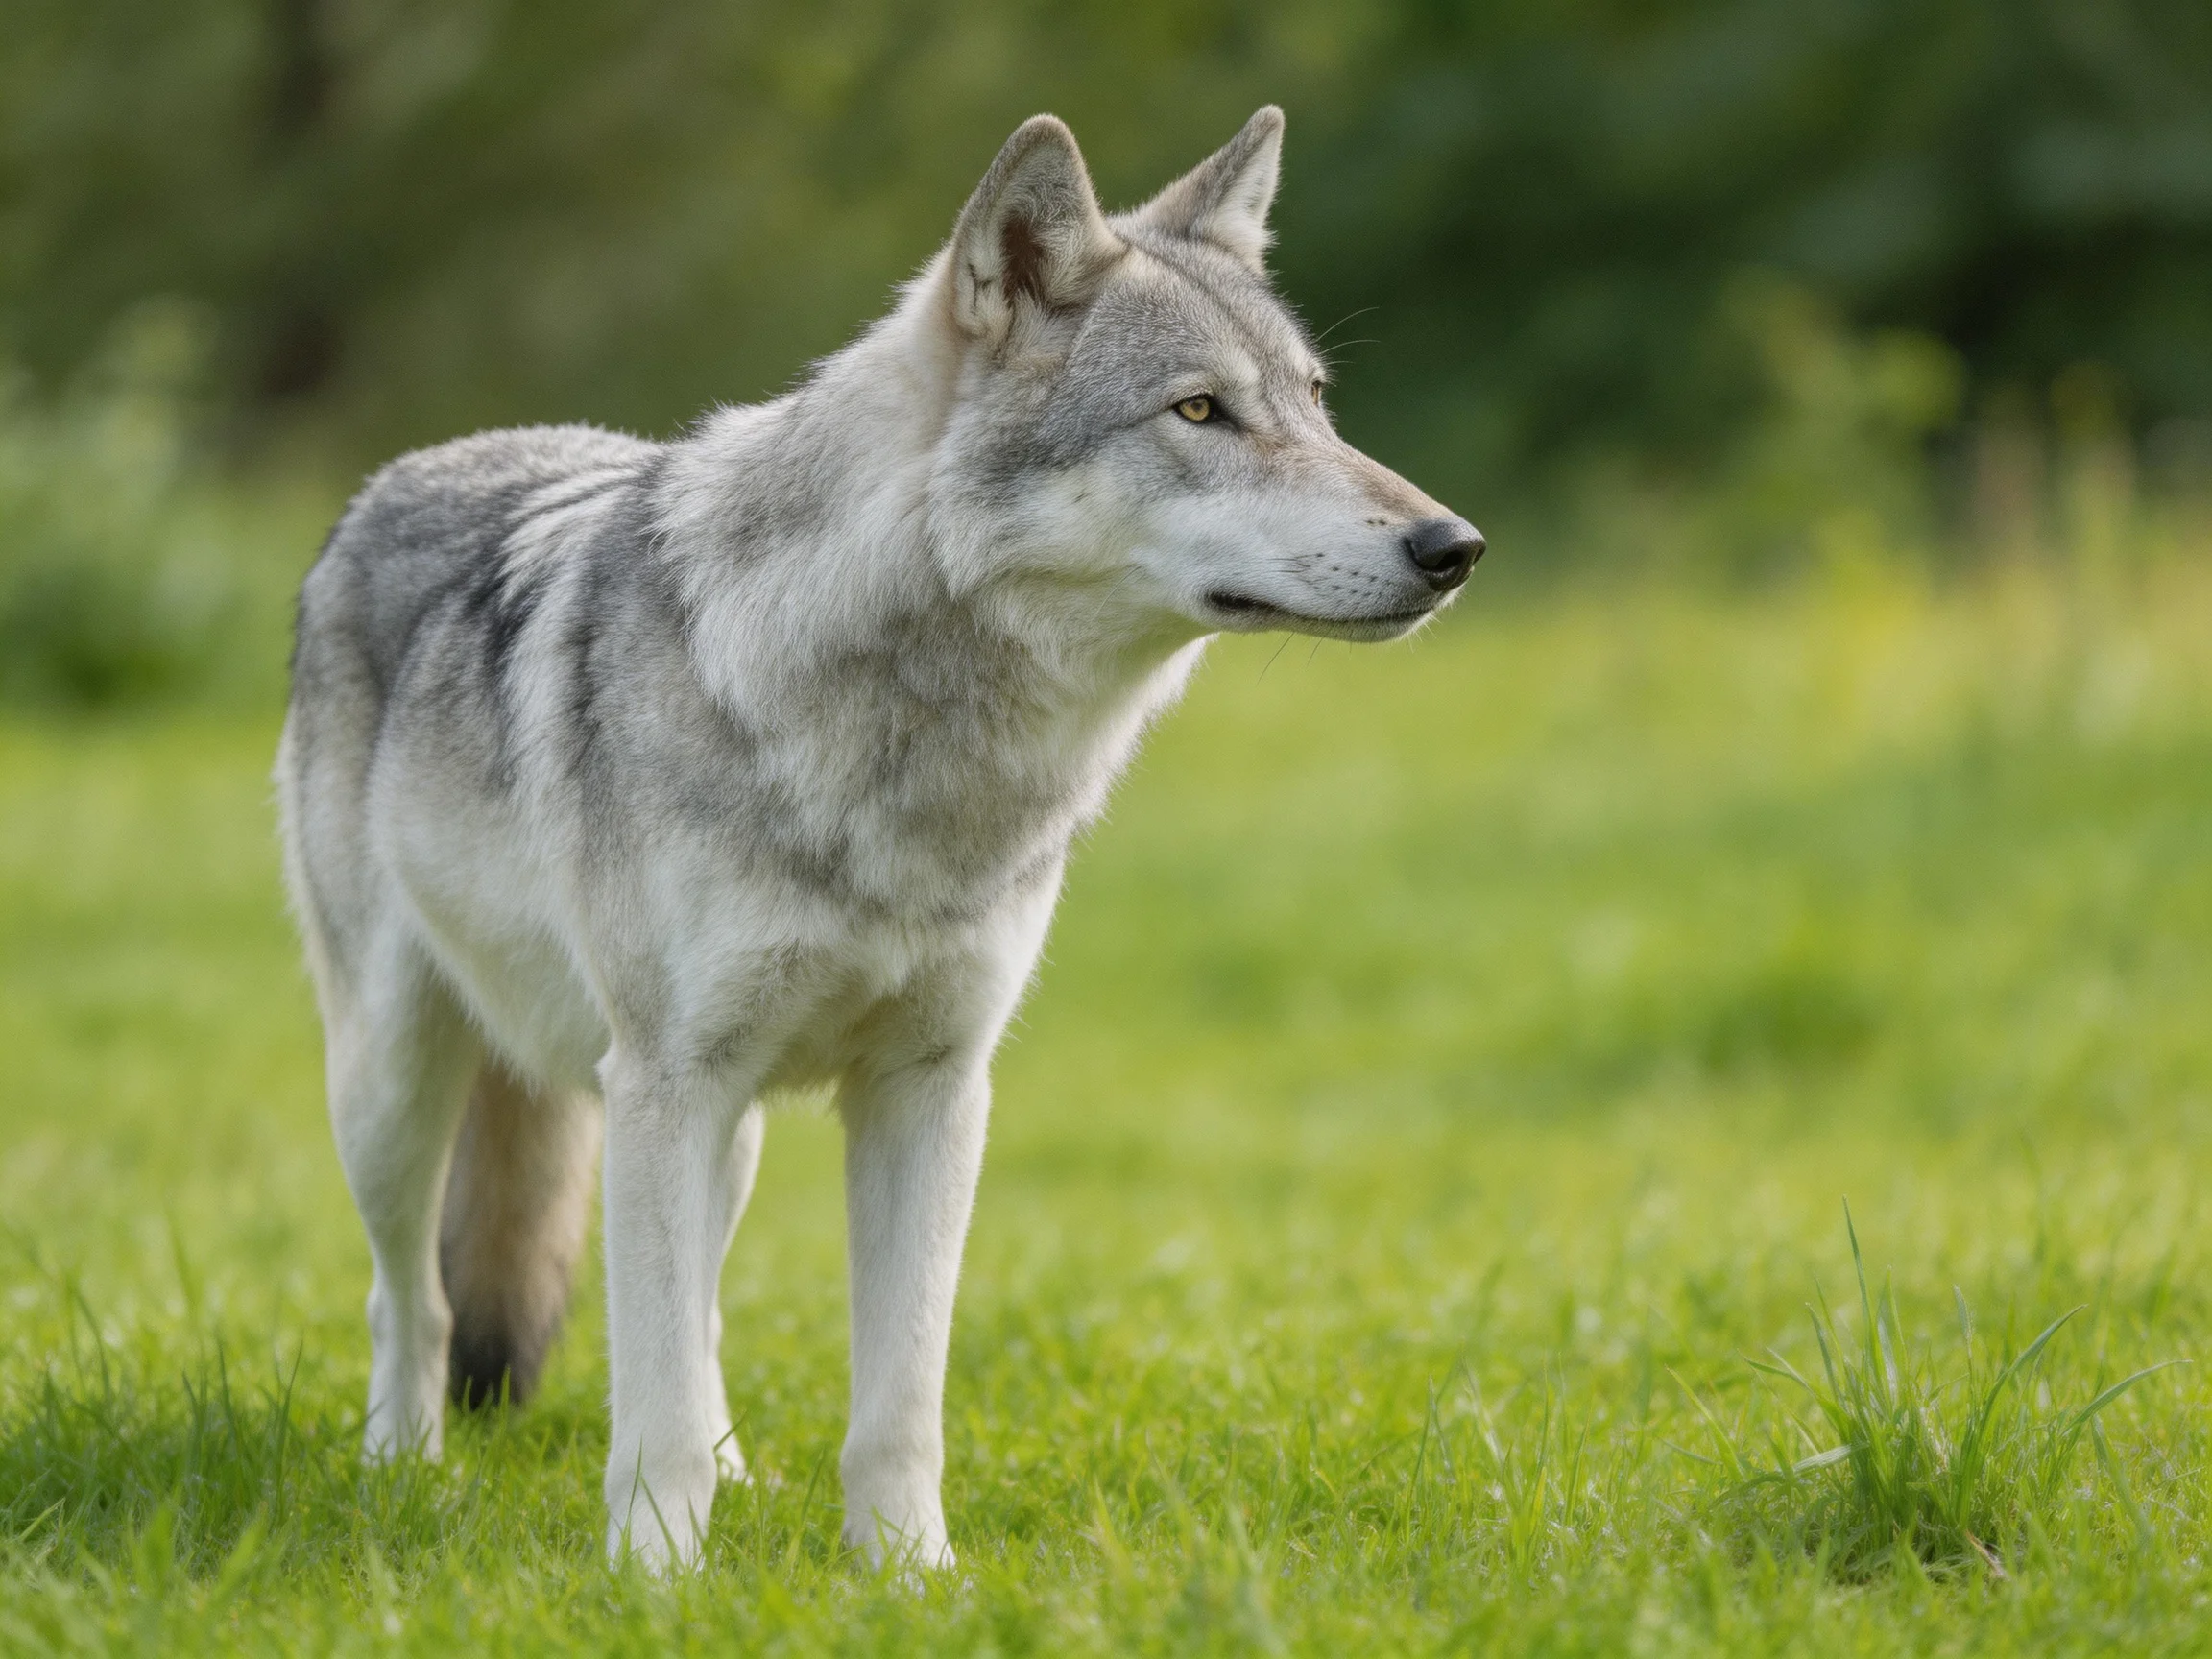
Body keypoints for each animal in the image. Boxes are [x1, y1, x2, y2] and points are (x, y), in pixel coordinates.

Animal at [277, 105, 1482, 1571]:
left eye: (1314, 402)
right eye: (1200, 410)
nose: (1454, 545)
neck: (910, 761)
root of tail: (401, 474)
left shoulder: (932, 1091)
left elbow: (895, 1397)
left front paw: (910, 1578)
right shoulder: (670, 1081)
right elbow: (644, 1394)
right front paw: (658, 1583)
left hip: (716, 1135)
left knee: (699, 1317)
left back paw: (735, 1480)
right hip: (408, 1091)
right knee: (417, 1302)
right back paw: (400, 1469)